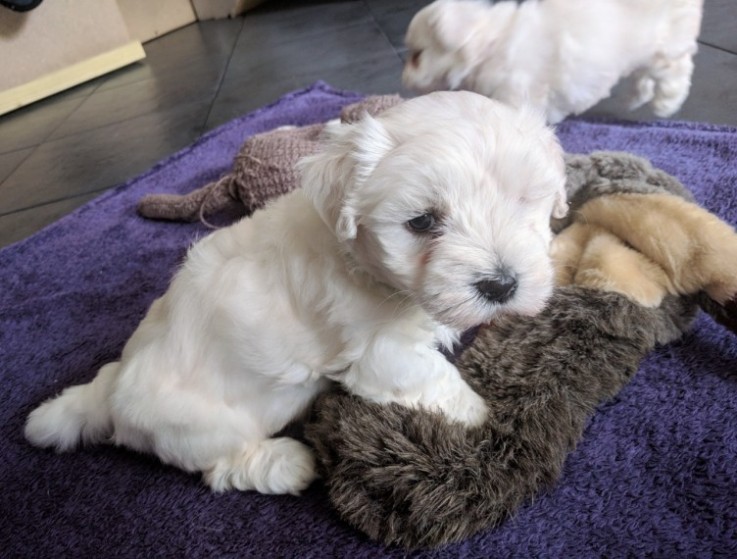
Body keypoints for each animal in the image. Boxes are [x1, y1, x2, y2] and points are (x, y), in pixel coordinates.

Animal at [23, 91, 568, 494]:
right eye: (422, 222)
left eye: (524, 201)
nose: (501, 285)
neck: (359, 259)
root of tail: (112, 386)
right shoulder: (380, 356)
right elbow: (435, 378)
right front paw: (481, 416)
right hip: (197, 428)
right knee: (219, 466)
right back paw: (287, 464)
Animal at [402, 0, 700, 123]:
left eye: (417, 56)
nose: (404, 78)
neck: (489, 45)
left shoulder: (515, 92)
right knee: (644, 76)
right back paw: (635, 98)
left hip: (662, 45)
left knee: (677, 69)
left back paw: (666, 104)